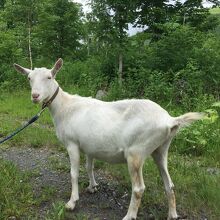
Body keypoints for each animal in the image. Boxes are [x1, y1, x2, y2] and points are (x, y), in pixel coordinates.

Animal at [13, 58, 203, 220]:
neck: (64, 107)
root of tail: (170, 120)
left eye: (49, 77)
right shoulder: (89, 146)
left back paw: (129, 216)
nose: (35, 96)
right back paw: (172, 214)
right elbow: (89, 167)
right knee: (169, 184)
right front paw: (92, 187)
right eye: (29, 78)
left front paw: (72, 202)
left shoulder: (72, 144)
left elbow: (74, 173)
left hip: (136, 153)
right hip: (161, 149)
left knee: (139, 188)